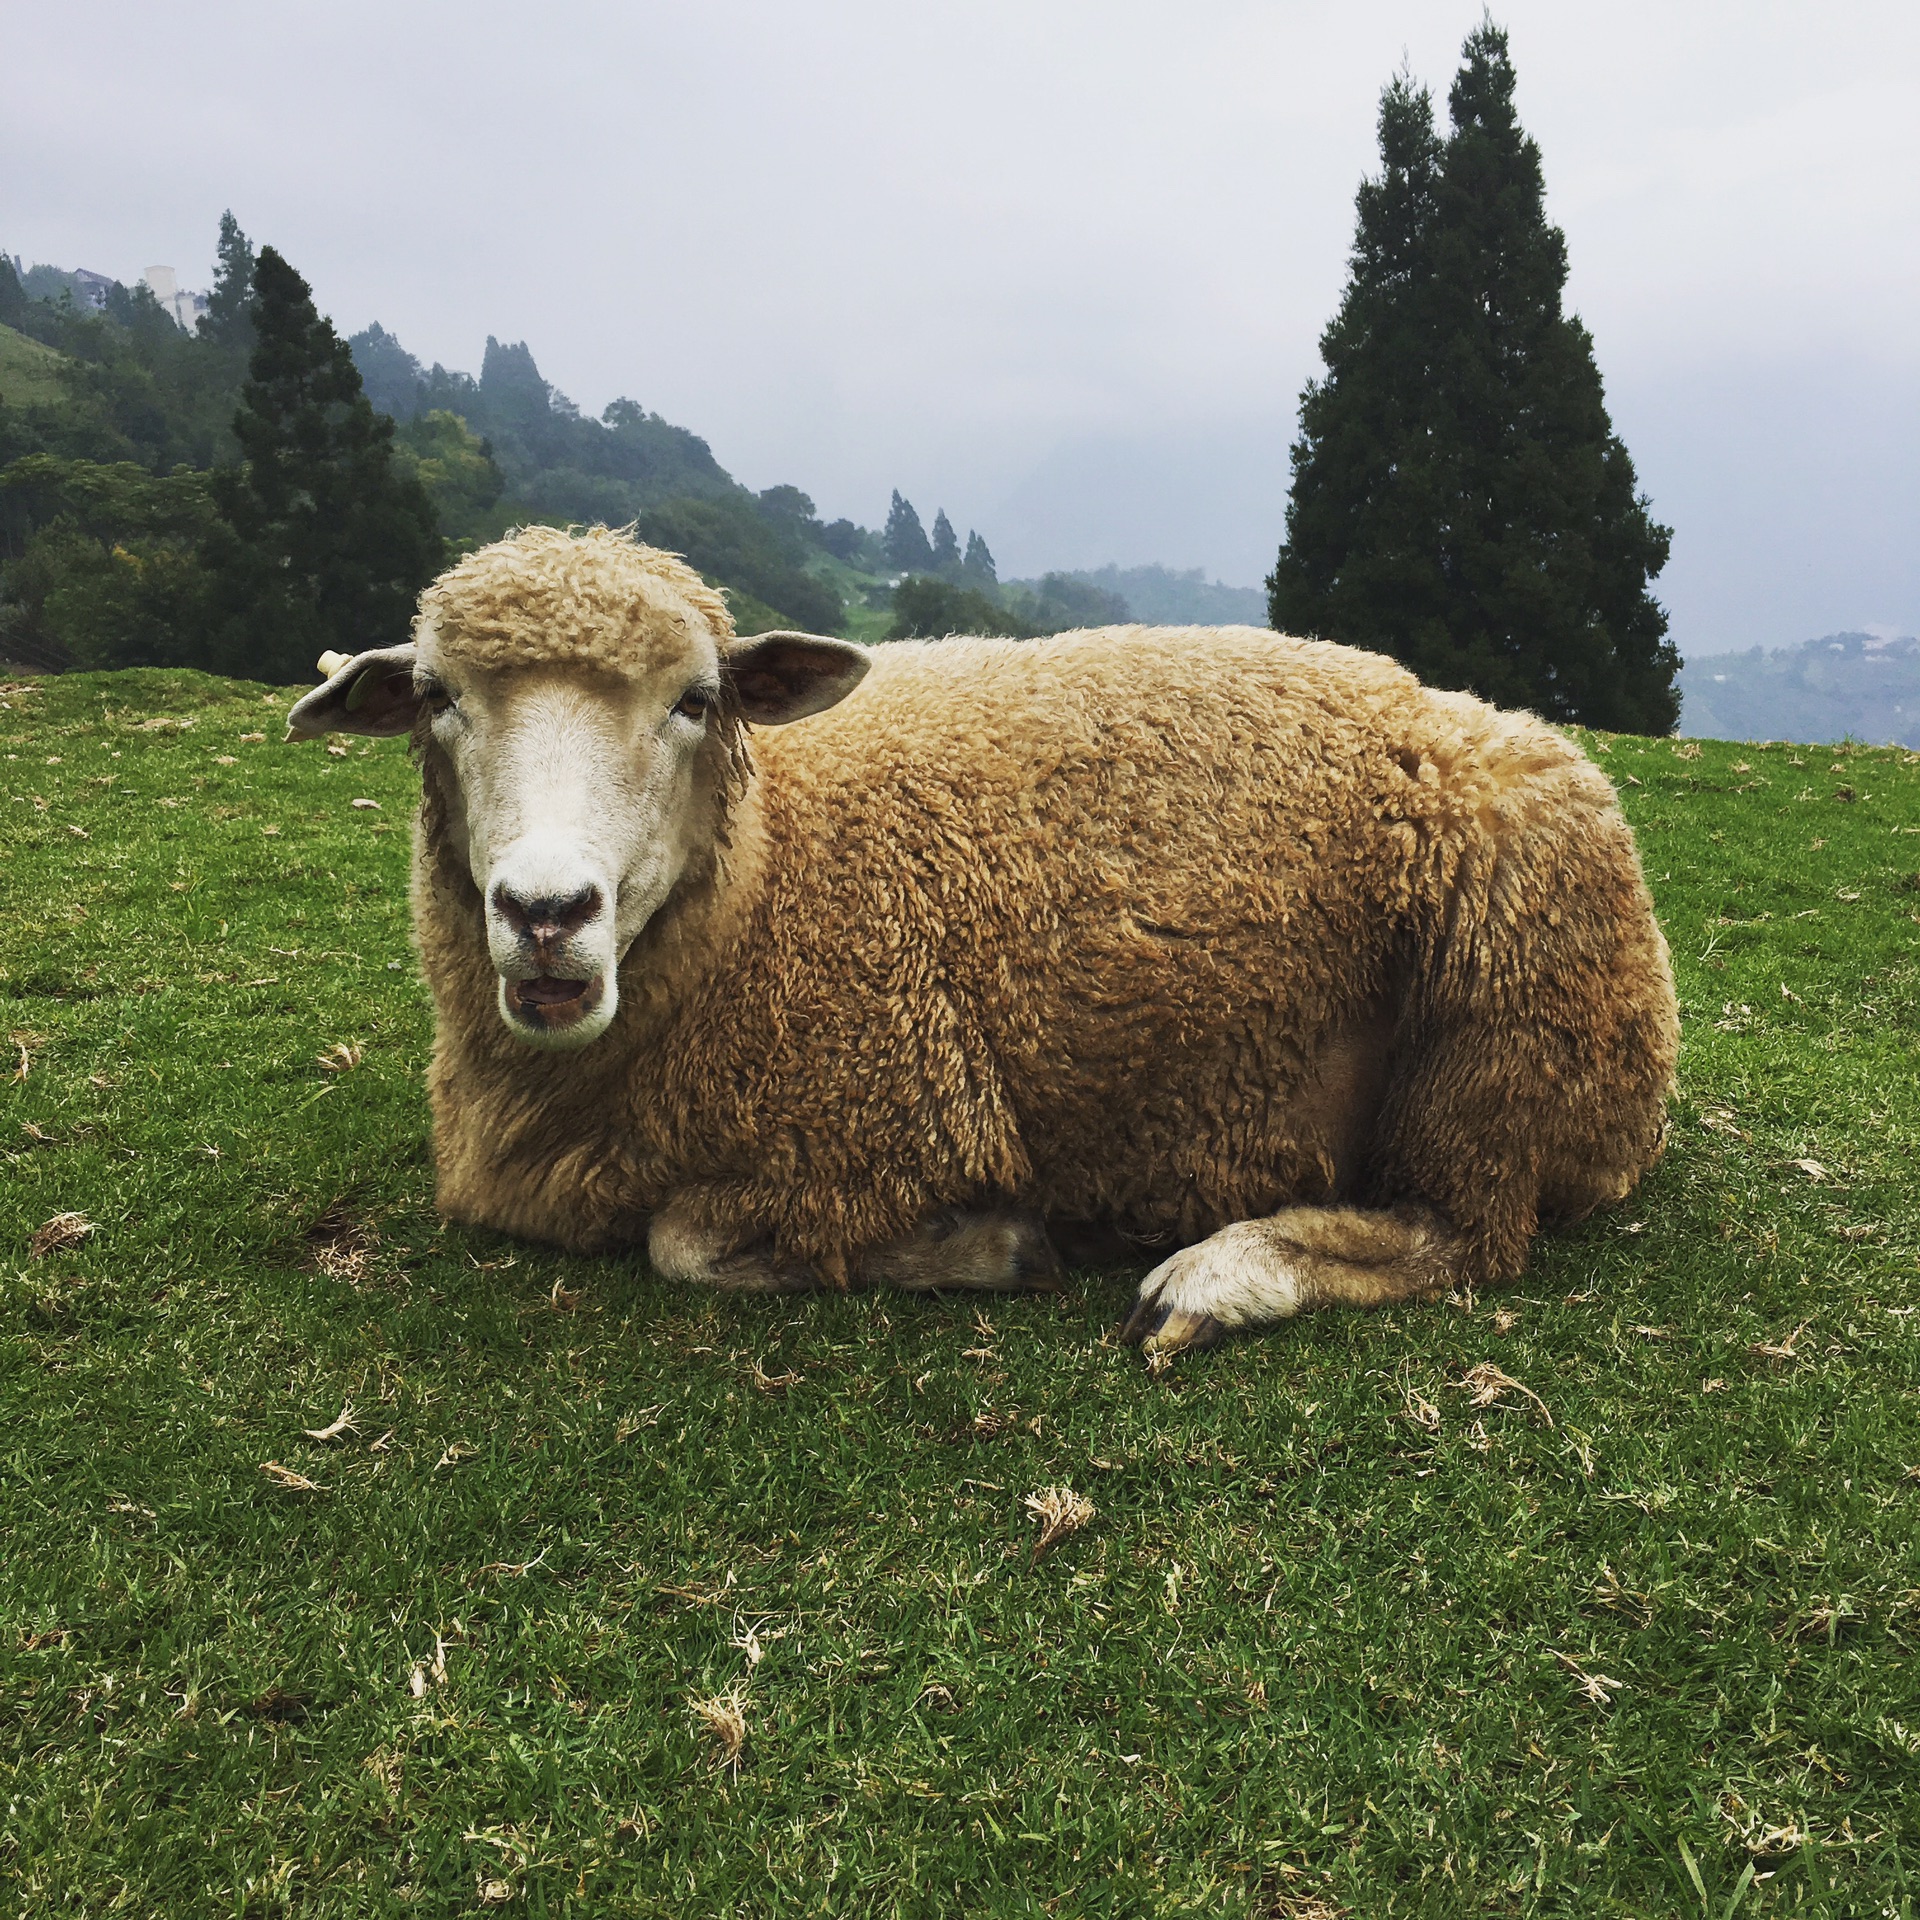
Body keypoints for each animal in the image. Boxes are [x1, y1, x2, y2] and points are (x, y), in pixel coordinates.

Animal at [288, 526, 1681, 1359]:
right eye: (433, 698)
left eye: (697, 701)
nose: (545, 913)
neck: (773, 869)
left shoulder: (883, 1121)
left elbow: (681, 1245)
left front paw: (999, 1246)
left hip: (1503, 1024)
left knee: (1464, 1236)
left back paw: (1221, 1273)